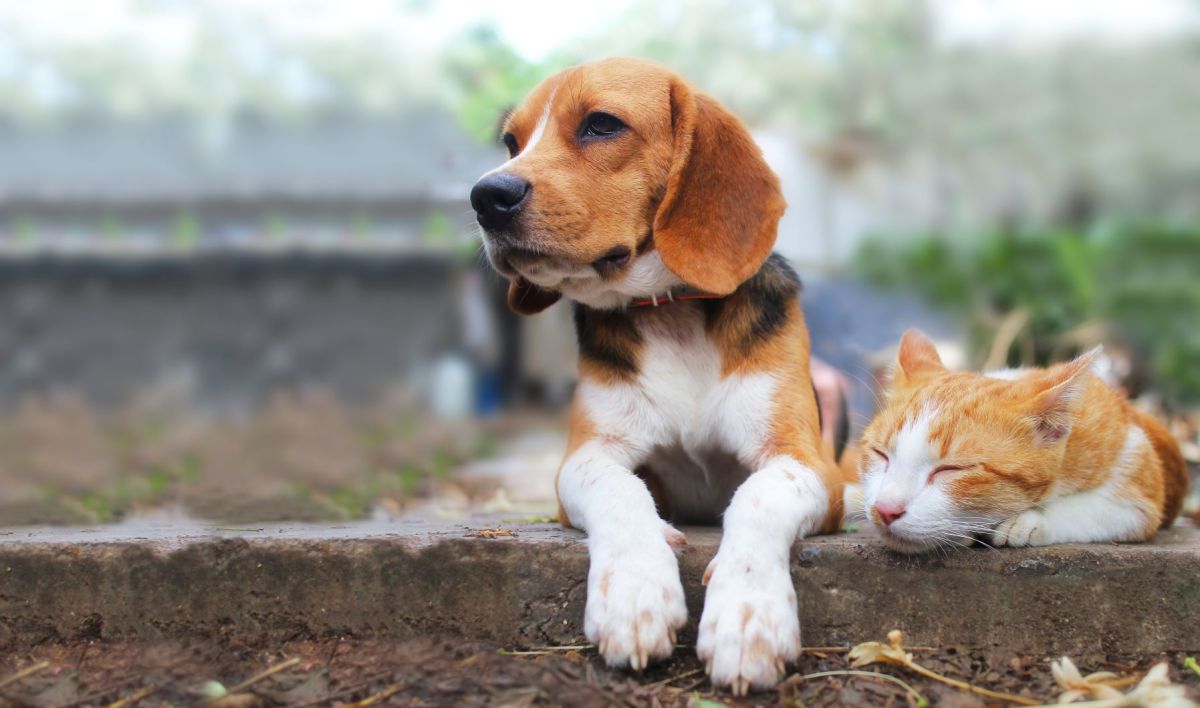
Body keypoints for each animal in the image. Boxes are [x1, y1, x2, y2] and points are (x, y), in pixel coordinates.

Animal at [468, 58, 844, 696]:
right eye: (511, 143)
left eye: (601, 124)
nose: (485, 196)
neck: (670, 311)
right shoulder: (586, 457)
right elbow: (620, 490)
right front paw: (635, 592)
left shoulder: (807, 462)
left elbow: (758, 497)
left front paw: (748, 615)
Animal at [859, 328, 1185, 554]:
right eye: (880, 454)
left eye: (951, 470)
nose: (885, 510)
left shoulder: (1140, 480)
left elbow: (1098, 508)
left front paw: (1027, 521)